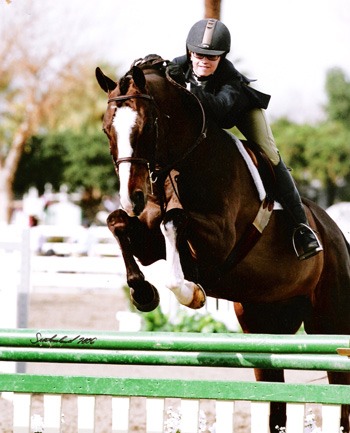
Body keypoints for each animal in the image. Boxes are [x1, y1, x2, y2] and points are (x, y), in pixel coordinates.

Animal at [95, 54, 350, 428]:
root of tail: (336, 234)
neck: (185, 161)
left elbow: (174, 221)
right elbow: (117, 224)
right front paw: (142, 293)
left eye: (146, 126)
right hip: (265, 326)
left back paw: (306, 239)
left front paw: (190, 292)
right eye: (106, 129)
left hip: (329, 324)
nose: (133, 198)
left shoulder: (219, 241)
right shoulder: (148, 241)